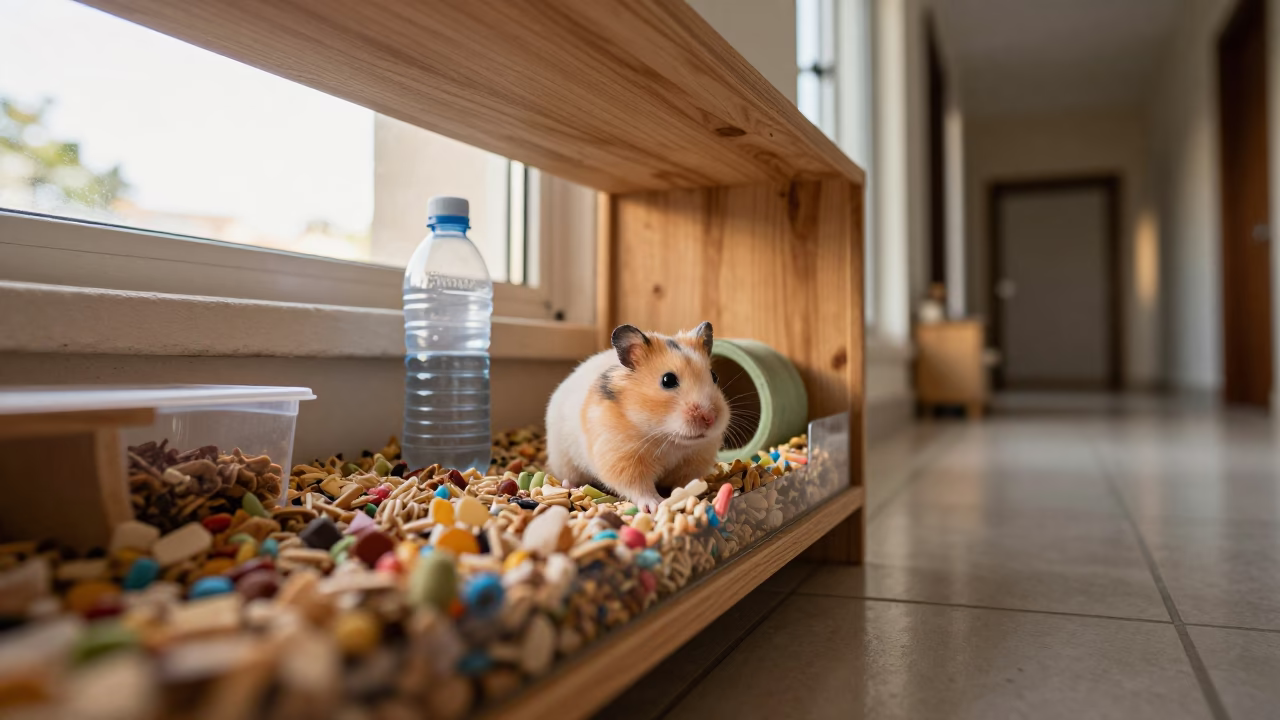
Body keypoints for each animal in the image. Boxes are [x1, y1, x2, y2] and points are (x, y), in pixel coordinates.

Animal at [545, 322, 731, 513]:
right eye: (668, 380)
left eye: (714, 376)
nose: (710, 418)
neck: (668, 439)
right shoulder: (622, 459)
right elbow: (639, 487)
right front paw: (655, 505)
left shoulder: (695, 461)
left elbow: (686, 484)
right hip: (565, 461)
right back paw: (569, 485)